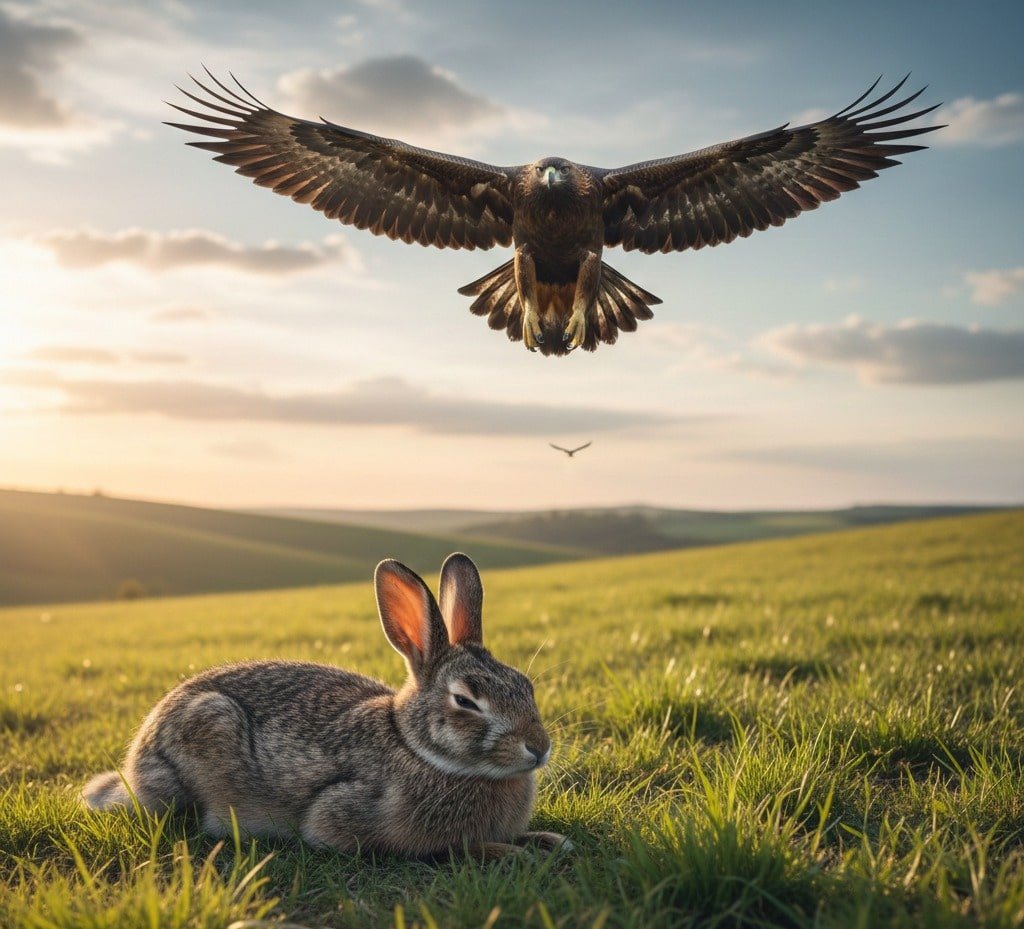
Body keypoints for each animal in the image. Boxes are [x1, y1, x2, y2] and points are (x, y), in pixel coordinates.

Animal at [82, 553, 570, 860]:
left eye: (525, 685)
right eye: (466, 701)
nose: (539, 747)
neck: (415, 748)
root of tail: (133, 765)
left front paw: (550, 840)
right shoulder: (343, 816)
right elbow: (442, 848)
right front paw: (511, 852)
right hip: (203, 732)